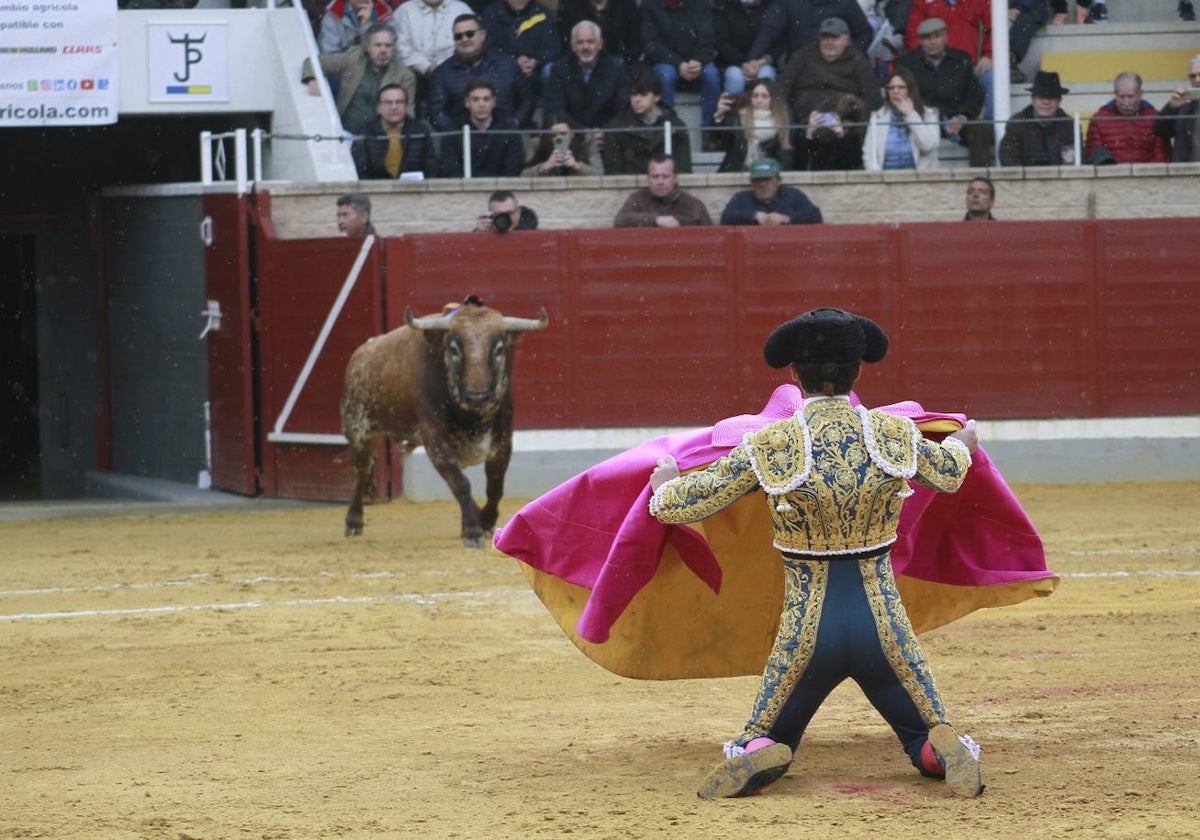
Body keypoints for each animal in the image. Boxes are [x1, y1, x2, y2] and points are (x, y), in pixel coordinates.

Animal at [343, 298, 549, 547]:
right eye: (454, 349)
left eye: (499, 349)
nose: (477, 396)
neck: (473, 417)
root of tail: (360, 355)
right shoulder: (435, 441)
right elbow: (461, 483)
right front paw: (472, 530)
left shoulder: (503, 441)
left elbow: (495, 487)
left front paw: (485, 520)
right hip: (359, 429)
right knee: (362, 471)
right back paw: (354, 521)